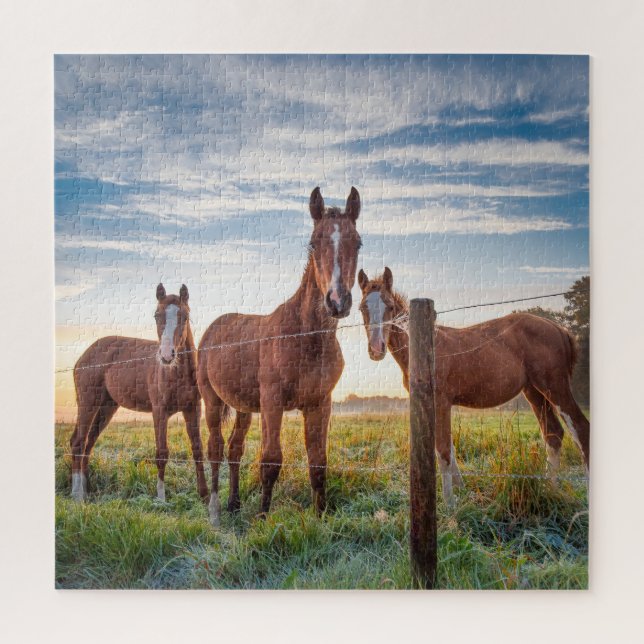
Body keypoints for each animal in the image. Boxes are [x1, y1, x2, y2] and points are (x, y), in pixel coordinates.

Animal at [69, 284, 208, 503]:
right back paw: (77, 495)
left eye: (184, 316)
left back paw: (87, 490)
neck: (177, 373)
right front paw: (161, 499)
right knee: (78, 442)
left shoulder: (193, 409)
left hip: (106, 408)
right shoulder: (159, 411)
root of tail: (85, 354)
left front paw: (204, 495)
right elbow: (162, 452)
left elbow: (197, 449)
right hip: (88, 403)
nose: (167, 355)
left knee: (88, 443)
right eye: (156, 315)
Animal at [197, 187, 362, 525]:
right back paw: (215, 507)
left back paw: (234, 503)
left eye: (358, 242)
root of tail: (213, 328)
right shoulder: (272, 402)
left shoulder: (319, 403)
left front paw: (320, 516)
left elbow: (318, 461)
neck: (306, 337)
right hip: (212, 400)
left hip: (244, 407)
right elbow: (271, 460)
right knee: (216, 448)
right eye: (314, 242)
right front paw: (262, 517)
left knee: (234, 449)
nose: (337, 301)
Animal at [357, 267, 590, 506]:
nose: (376, 349)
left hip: (555, 387)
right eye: (362, 307)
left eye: (390, 306)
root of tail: (559, 328)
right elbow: (449, 447)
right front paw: (460, 490)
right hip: (534, 392)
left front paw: (450, 504)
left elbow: (443, 451)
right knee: (553, 434)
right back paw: (549, 490)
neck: (425, 346)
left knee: (580, 428)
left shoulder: (441, 401)